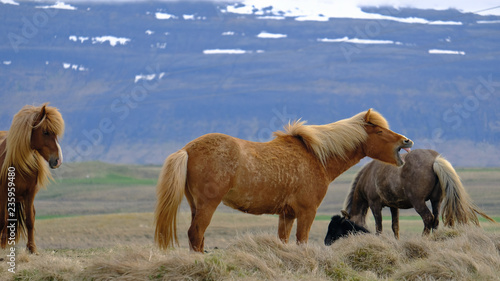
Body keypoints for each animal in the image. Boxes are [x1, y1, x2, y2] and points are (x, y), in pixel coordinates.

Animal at [0, 103, 64, 254]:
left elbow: (30, 220)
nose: (58, 160)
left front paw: (32, 248)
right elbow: (2, 220)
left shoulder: (30, 193)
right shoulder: (3, 193)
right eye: (45, 132)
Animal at [154, 109, 412, 252]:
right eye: (379, 131)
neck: (315, 157)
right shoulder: (307, 212)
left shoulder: (287, 214)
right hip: (208, 205)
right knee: (196, 235)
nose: (407, 140)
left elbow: (284, 241)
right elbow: (301, 241)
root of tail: (187, 149)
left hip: (196, 206)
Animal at [342, 148, 494, 237]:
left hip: (418, 202)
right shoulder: (393, 206)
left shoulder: (375, 205)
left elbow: (379, 227)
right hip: (436, 201)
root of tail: (434, 160)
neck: (368, 175)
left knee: (428, 219)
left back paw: (423, 239)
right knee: (435, 220)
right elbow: (395, 226)